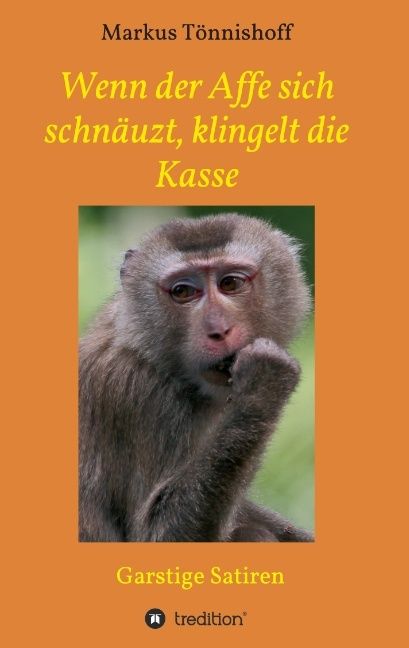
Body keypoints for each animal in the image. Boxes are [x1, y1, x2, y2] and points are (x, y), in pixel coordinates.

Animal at [79, 214, 313, 542]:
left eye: (230, 283)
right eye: (183, 292)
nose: (219, 330)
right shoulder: (135, 395)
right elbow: (157, 533)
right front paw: (263, 383)